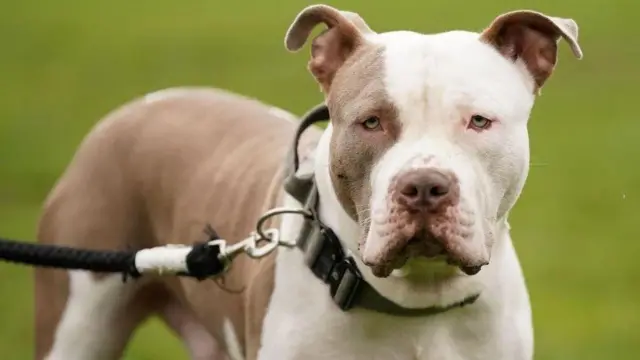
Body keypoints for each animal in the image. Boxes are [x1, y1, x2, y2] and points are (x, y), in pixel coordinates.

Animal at [36, 3, 584, 360]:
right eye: (370, 122)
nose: (425, 187)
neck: (418, 305)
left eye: (479, 121)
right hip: (77, 321)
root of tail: (137, 106)